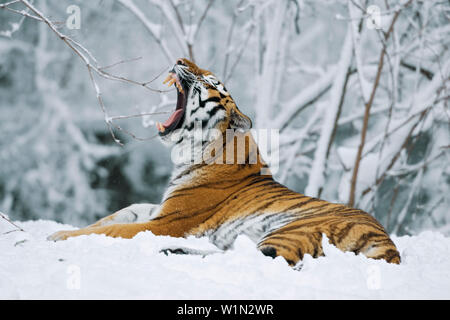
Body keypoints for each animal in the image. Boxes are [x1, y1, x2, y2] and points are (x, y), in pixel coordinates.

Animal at [49, 57, 400, 264]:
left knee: (253, 261)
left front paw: (59, 237)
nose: (180, 59)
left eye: (211, 82)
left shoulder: (167, 222)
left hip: (290, 231)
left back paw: (173, 251)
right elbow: (116, 215)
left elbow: (113, 228)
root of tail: (388, 243)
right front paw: (64, 229)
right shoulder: (157, 210)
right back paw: (173, 250)